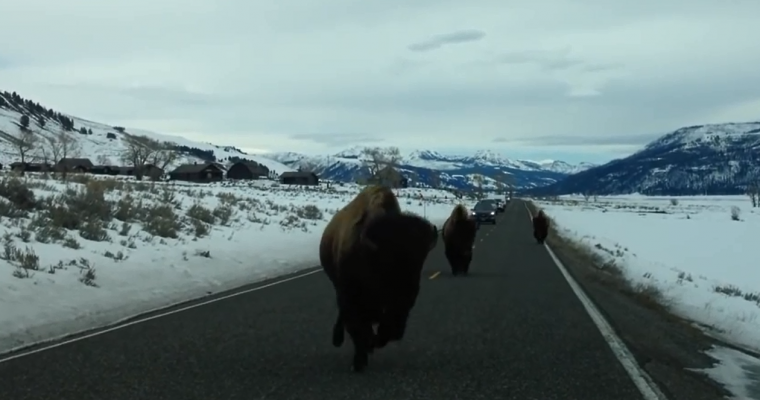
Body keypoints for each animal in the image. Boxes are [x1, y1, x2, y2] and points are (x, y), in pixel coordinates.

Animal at [320, 184, 440, 372]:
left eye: (420, 263)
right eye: (388, 263)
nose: (409, 292)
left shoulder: (394, 310)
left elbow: (383, 331)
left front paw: (371, 346)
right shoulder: (350, 298)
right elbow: (358, 329)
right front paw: (359, 362)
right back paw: (340, 340)